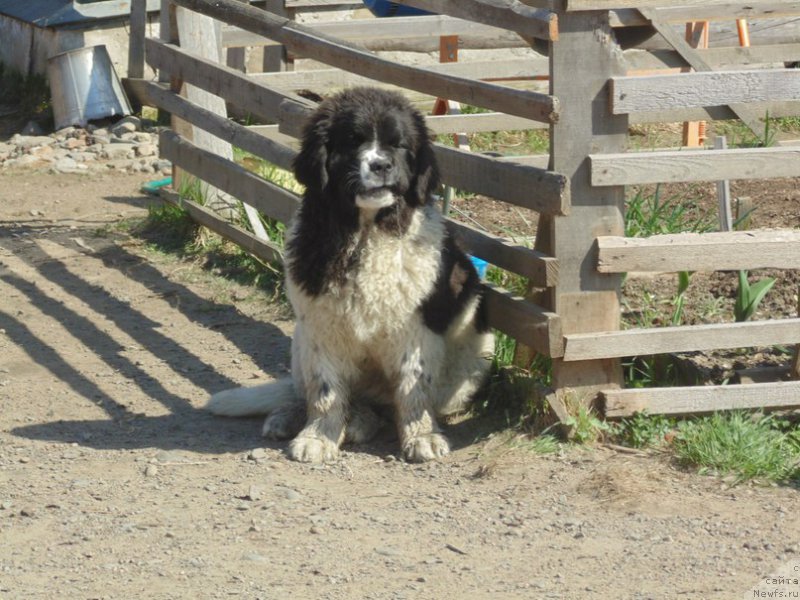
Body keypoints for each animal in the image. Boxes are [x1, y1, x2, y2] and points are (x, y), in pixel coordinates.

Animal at [206, 88, 494, 464]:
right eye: (353, 142)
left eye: (398, 145)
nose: (381, 165)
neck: (364, 236)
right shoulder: (322, 326)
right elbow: (325, 391)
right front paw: (318, 437)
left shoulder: (416, 330)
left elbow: (413, 388)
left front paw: (422, 436)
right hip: (300, 339)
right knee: (305, 392)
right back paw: (297, 418)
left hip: (475, 355)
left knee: (388, 406)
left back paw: (360, 421)